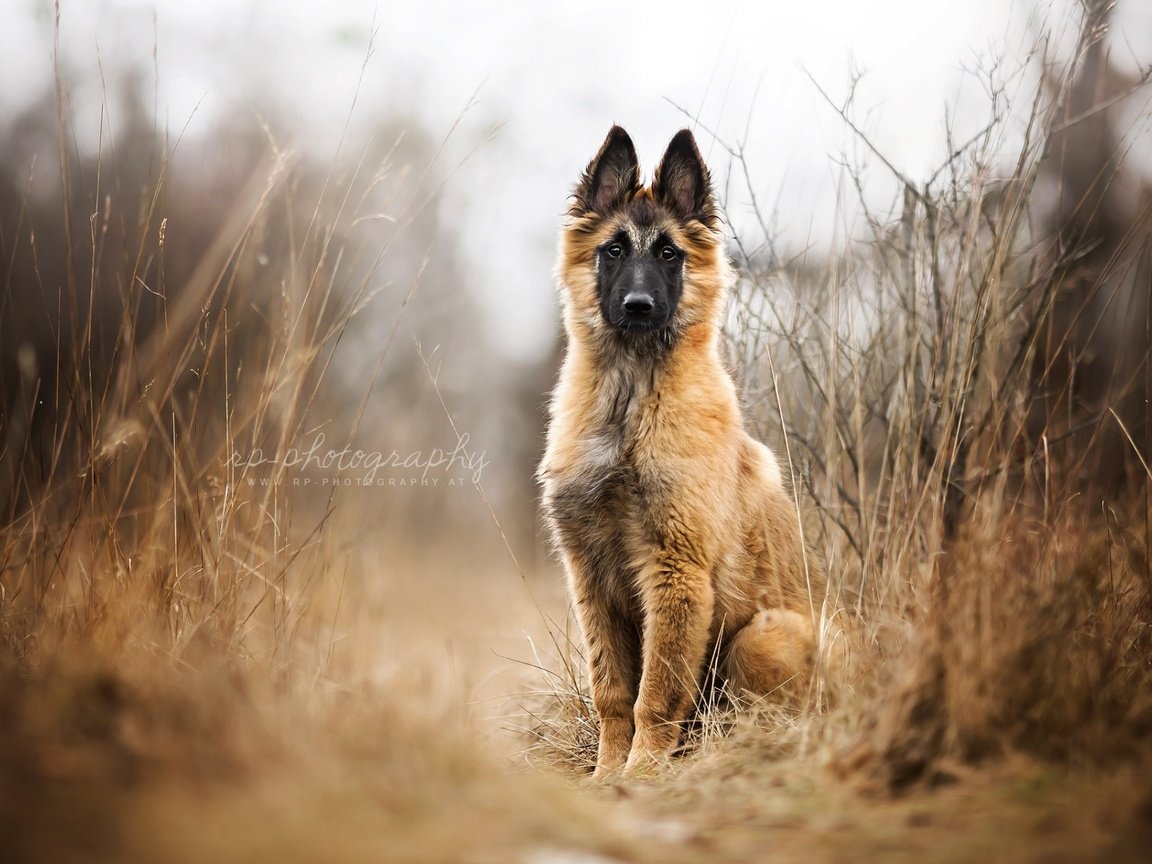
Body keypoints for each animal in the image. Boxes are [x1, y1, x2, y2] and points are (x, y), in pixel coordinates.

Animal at [539, 123, 820, 778]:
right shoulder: (590, 577)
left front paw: (641, 775)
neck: (631, 397)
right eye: (614, 250)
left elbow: (656, 693)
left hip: (760, 635)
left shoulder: (675, 571)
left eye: (670, 254)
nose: (638, 307)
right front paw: (606, 774)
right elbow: (613, 691)